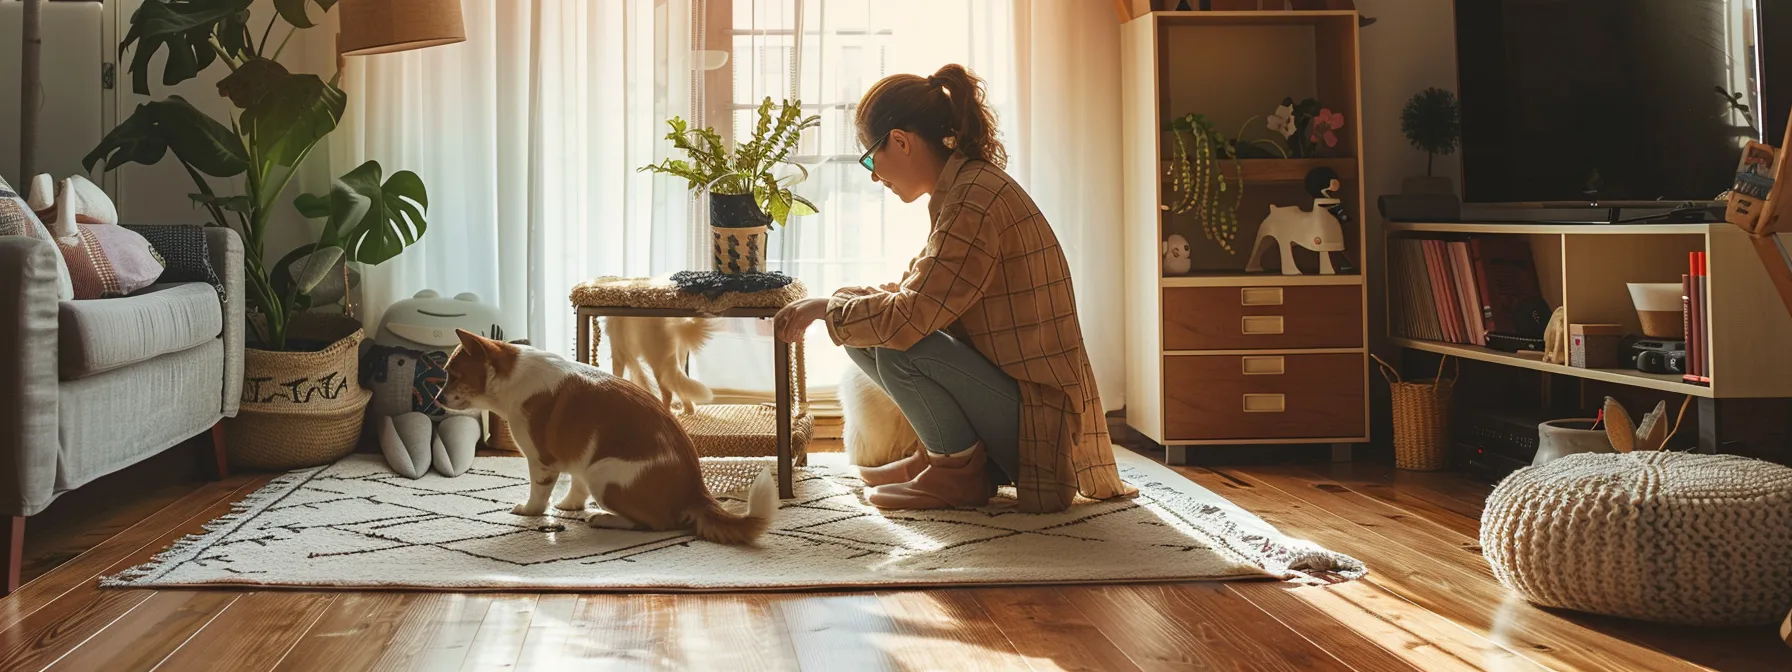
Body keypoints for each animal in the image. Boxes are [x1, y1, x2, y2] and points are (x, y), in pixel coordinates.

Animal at [437, 329, 774, 544]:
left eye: (452, 376)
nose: (438, 398)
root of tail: (697, 491)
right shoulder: (579, 455)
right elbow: (576, 484)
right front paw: (569, 506)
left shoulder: (541, 462)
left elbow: (539, 494)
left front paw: (531, 512)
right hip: (597, 469)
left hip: (604, 475)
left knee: (658, 523)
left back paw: (604, 518)